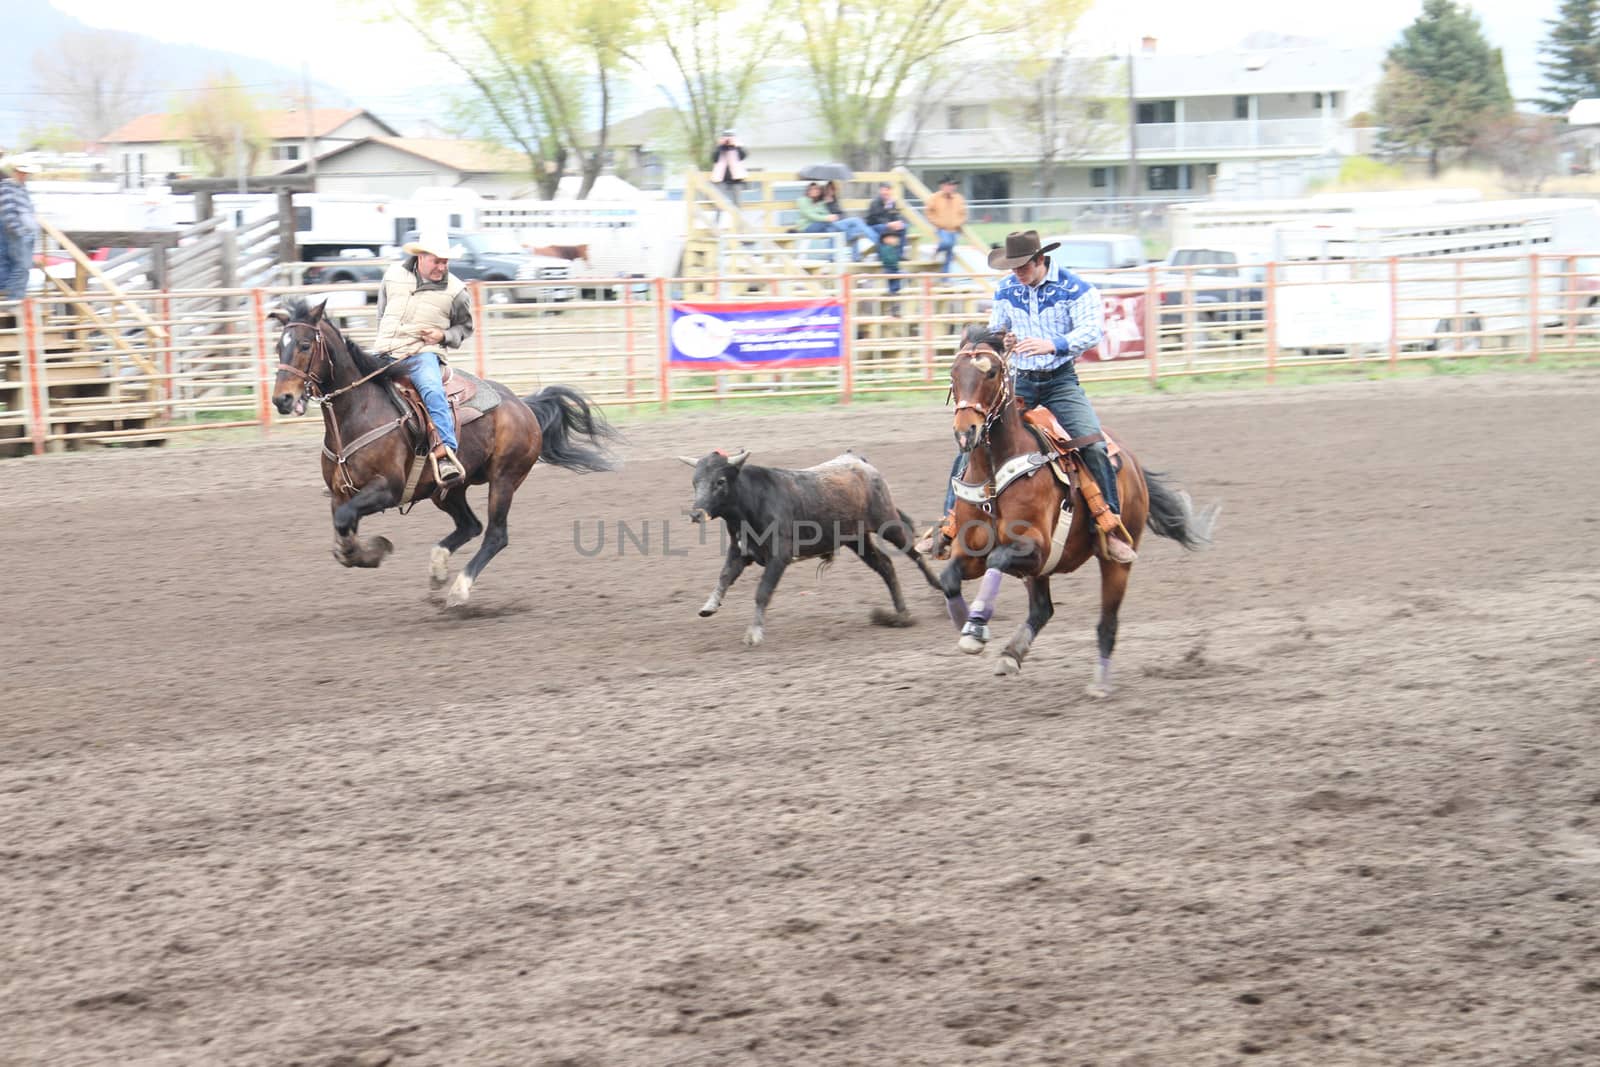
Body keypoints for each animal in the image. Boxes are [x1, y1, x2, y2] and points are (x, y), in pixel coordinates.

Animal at [268, 295, 617, 607]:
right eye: (278, 346)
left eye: (305, 345)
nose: (282, 399)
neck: (359, 412)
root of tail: (523, 406)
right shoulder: (341, 493)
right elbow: (342, 532)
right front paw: (370, 551)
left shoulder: (388, 489)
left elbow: (344, 525)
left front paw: (377, 549)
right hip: (447, 489)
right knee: (470, 525)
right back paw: (437, 570)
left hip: (504, 479)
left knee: (495, 534)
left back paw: (459, 590)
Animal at [934, 326, 1209, 694]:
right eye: (953, 374)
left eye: (990, 373)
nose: (966, 433)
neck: (994, 476)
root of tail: (1133, 464)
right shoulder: (975, 552)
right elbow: (950, 576)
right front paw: (969, 625)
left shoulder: (1033, 547)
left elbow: (998, 558)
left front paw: (976, 626)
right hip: (1041, 572)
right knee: (1042, 610)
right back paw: (1010, 655)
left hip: (1114, 561)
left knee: (1107, 622)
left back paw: (1100, 684)